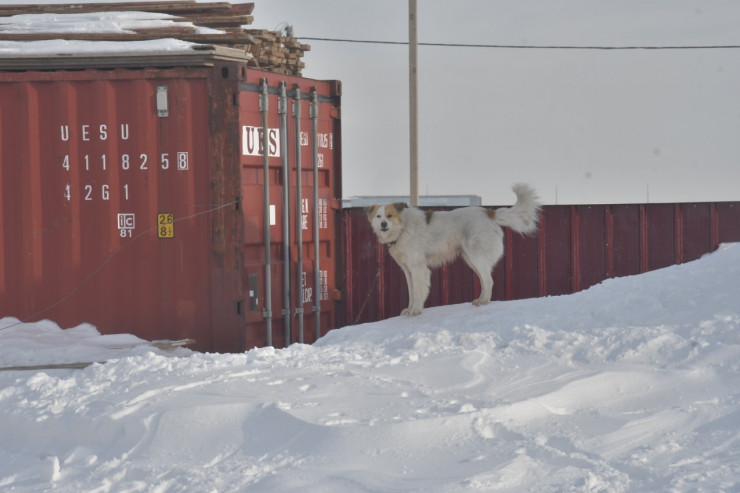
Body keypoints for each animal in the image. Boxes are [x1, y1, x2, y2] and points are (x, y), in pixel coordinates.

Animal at [364, 183, 540, 316]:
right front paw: (410, 309)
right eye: (378, 216)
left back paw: (484, 301)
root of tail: (489, 212)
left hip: (476, 256)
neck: (403, 227)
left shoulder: (418, 268)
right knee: (485, 280)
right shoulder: (407, 269)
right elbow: (411, 291)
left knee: (488, 280)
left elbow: (418, 291)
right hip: (471, 259)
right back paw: (480, 300)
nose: (383, 224)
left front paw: (416, 311)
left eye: (390, 215)